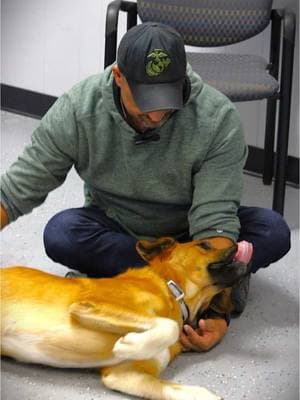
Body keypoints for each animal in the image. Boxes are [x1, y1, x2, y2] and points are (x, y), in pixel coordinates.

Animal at [0, 238, 248, 400]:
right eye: (205, 245)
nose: (237, 244)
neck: (172, 290)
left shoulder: (121, 375)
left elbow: (183, 391)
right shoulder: (88, 305)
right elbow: (168, 326)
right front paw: (130, 344)